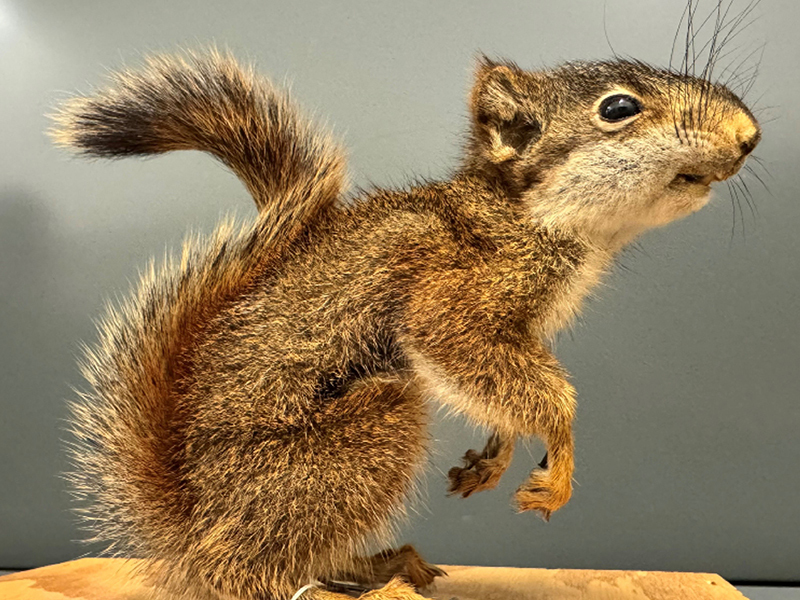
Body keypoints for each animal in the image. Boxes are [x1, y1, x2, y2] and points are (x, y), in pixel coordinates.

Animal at [51, 44, 764, 600]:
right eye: (618, 109)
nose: (748, 134)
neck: (522, 216)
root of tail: (190, 526)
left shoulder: (521, 332)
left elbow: (512, 388)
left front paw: (494, 458)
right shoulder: (449, 298)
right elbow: (526, 383)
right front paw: (557, 467)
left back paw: (381, 566)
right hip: (357, 443)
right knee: (244, 572)